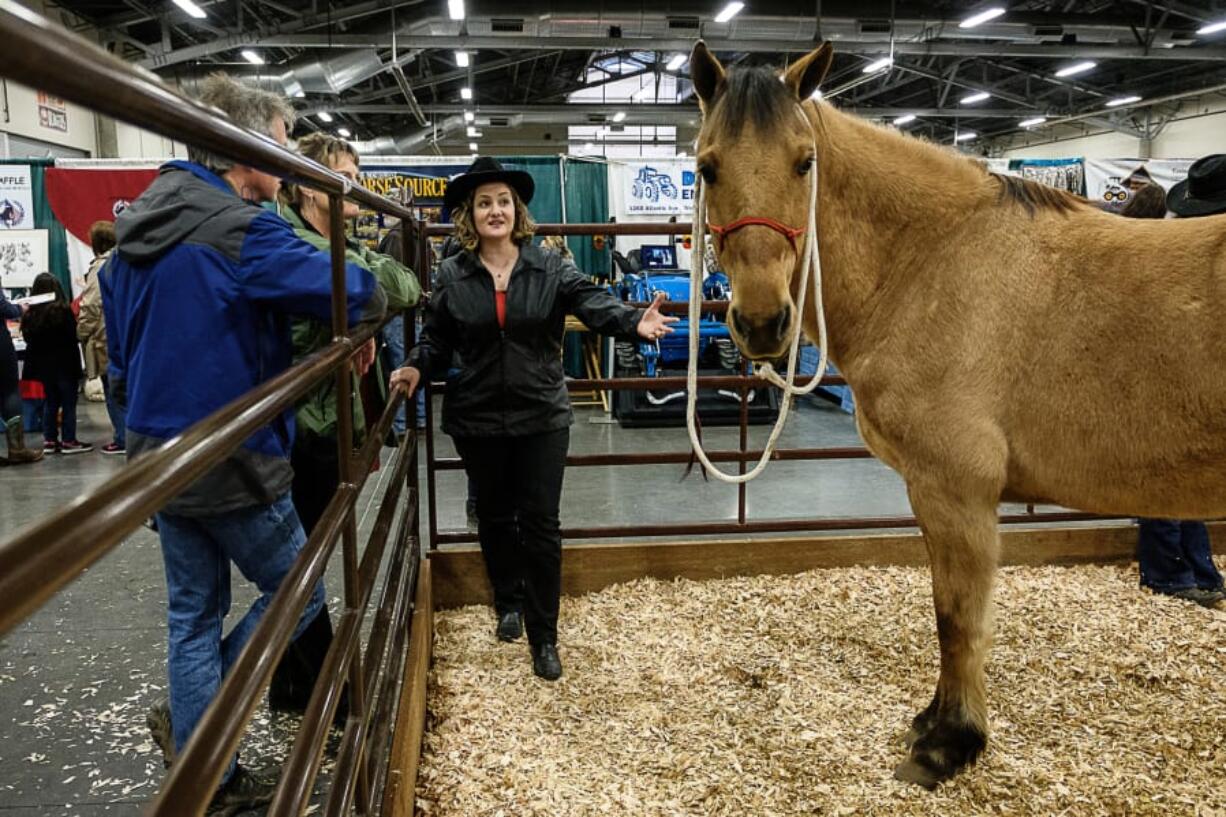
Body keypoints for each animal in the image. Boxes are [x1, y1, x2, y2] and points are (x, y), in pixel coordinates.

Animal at [691, 41, 1226, 785]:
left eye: (805, 162)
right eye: (707, 167)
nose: (764, 322)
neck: (933, 259)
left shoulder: (956, 491)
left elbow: (957, 617)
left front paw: (949, 743)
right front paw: (936, 723)